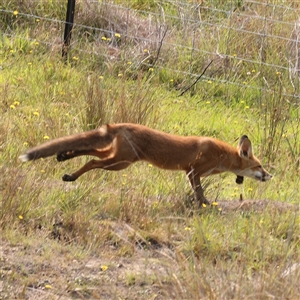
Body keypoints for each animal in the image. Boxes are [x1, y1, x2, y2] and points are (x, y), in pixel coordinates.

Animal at [18, 123, 272, 205]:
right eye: (260, 166)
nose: (270, 176)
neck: (221, 156)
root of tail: (120, 125)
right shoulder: (193, 171)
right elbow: (199, 191)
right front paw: (205, 204)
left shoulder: (194, 173)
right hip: (119, 163)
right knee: (91, 160)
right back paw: (71, 176)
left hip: (116, 157)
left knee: (87, 150)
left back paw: (64, 157)